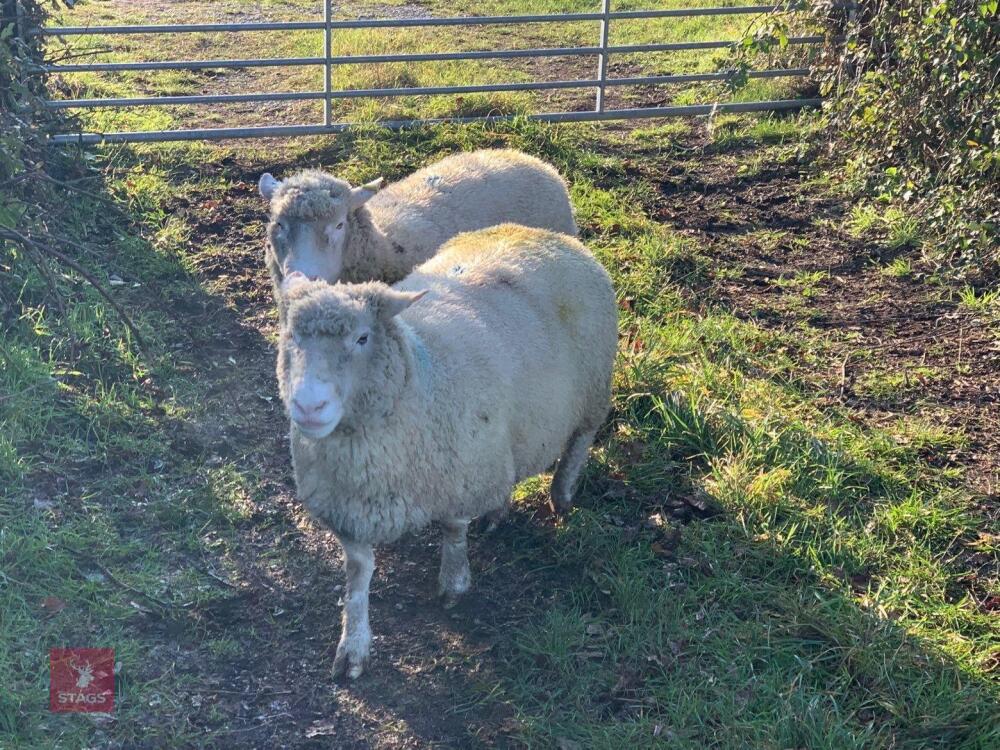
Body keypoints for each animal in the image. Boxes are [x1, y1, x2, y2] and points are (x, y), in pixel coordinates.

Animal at [276, 224, 617, 679]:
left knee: (580, 440)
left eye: (362, 337)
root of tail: (544, 234)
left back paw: (561, 495)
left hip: (594, 389)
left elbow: (454, 531)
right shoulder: (348, 511)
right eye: (291, 336)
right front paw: (354, 645)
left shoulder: (463, 472)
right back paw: (498, 510)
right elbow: (358, 576)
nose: (308, 406)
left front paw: (454, 583)